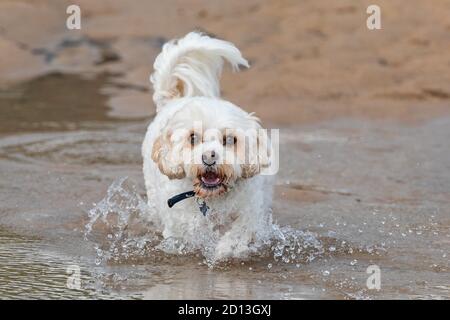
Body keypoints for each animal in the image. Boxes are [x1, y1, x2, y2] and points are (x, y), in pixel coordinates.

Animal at [142, 31, 274, 260]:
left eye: (229, 140)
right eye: (193, 137)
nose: (209, 157)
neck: (212, 198)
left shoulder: (250, 211)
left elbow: (240, 230)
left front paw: (226, 249)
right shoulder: (178, 221)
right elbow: (189, 231)